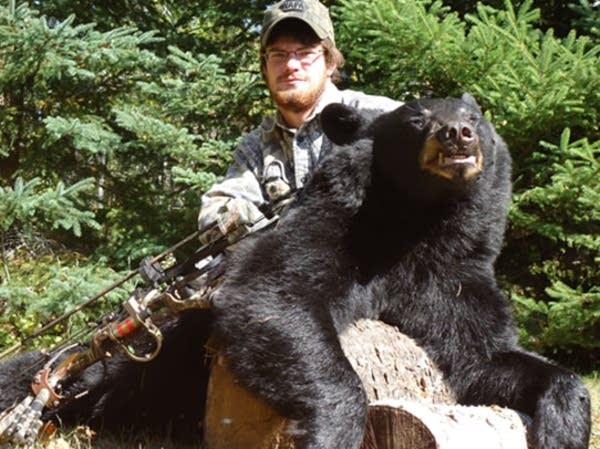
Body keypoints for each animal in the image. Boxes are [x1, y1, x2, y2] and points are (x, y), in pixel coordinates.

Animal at [212, 93, 592, 448]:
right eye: (417, 120)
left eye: (473, 117)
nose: (458, 132)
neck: (419, 218)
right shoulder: (340, 226)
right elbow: (277, 292)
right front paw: (333, 430)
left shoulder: (451, 272)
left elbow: (485, 355)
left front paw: (564, 428)